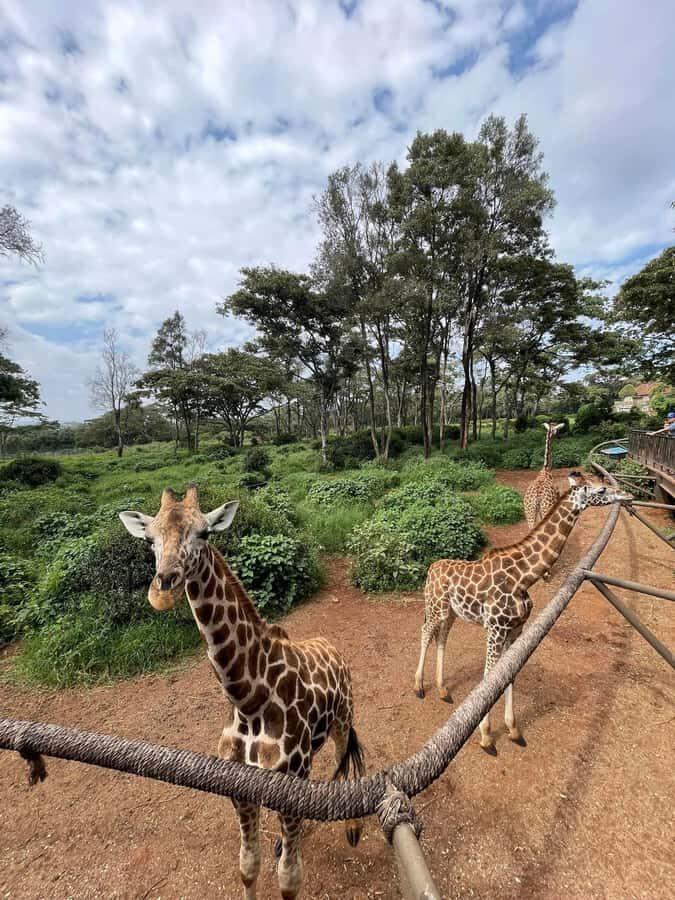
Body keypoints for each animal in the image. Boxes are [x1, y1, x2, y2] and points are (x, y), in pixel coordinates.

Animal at [120, 486, 365, 900]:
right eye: (149, 540)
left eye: (204, 534)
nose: (164, 586)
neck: (248, 700)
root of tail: (331, 647)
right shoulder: (240, 792)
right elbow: (248, 867)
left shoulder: (286, 789)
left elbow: (289, 880)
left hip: (343, 721)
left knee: (344, 762)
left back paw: (351, 826)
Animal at [414, 473, 629, 753]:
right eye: (601, 489)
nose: (627, 495)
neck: (524, 577)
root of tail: (431, 568)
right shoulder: (495, 629)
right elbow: (488, 677)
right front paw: (486, 737)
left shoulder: (517, 629)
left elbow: (509, 676)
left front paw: (514, 731)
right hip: (435, 606)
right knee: (425, 632)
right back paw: (419, 687)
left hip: (450, 612)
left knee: (441, 637)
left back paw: (443, 691)